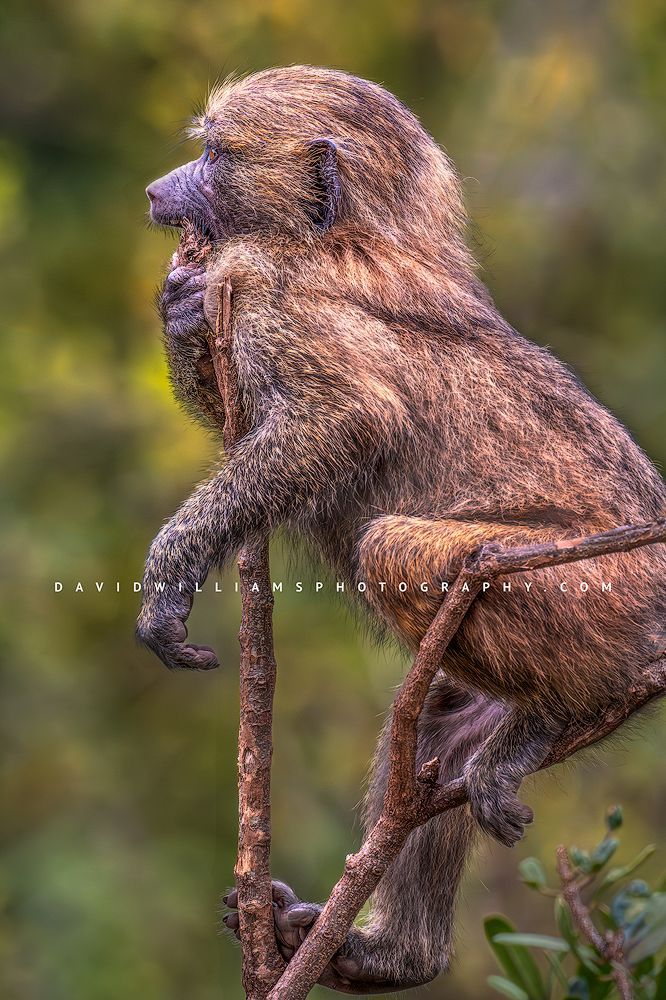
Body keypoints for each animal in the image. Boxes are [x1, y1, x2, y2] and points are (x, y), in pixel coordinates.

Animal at [139, 66, 666, 993]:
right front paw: (180, 310)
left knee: (390, 547)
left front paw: (172, 579)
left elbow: (342, 419)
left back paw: (556, 714)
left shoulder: (270, 285)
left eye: (214, 152)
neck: (350, 230)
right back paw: (392, 954)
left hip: (593, 587)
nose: (155, 192)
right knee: (437, 735)